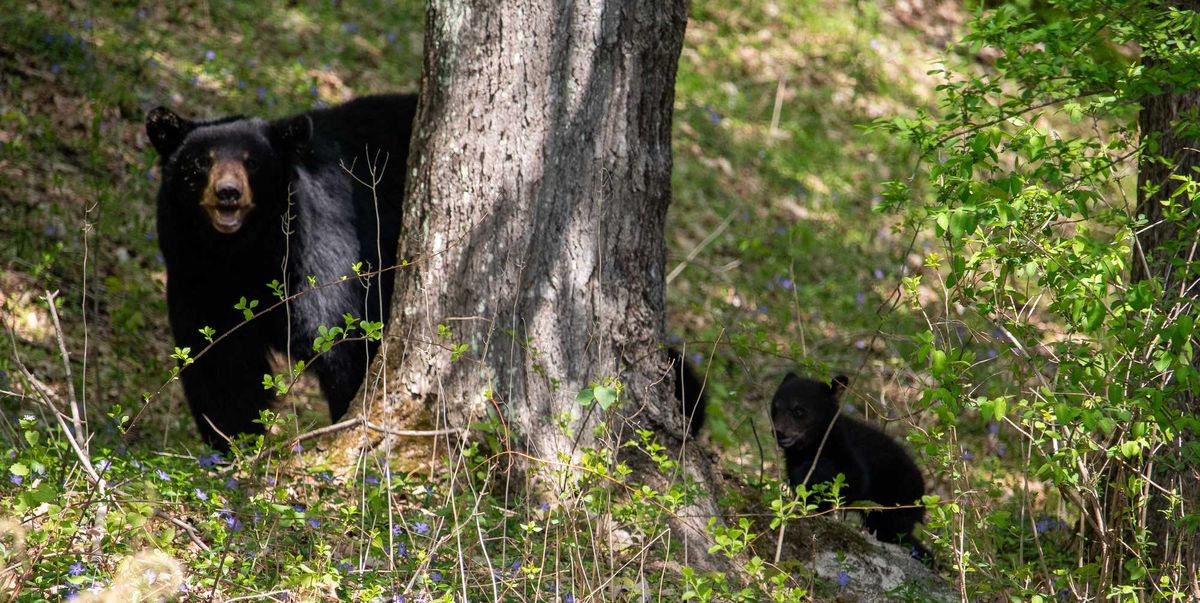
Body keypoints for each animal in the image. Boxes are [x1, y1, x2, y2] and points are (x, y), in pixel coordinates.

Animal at [145, 94, 417, 449]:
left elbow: (344, 342)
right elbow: (220, 368)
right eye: (202, 161)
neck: (240, 253)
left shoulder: (320, 254)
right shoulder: (196, 278)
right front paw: (232, 446)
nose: (228, 192)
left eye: (252, 162)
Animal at [770, 372, 930, 559]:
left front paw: (807, 473)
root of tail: (923, 491)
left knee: (894, 530)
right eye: (775, 407)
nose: (778, 432)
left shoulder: (845, 449)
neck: (810, 446)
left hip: (898, 498)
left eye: (799, 410)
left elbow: (854, 478)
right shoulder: (793, 459)